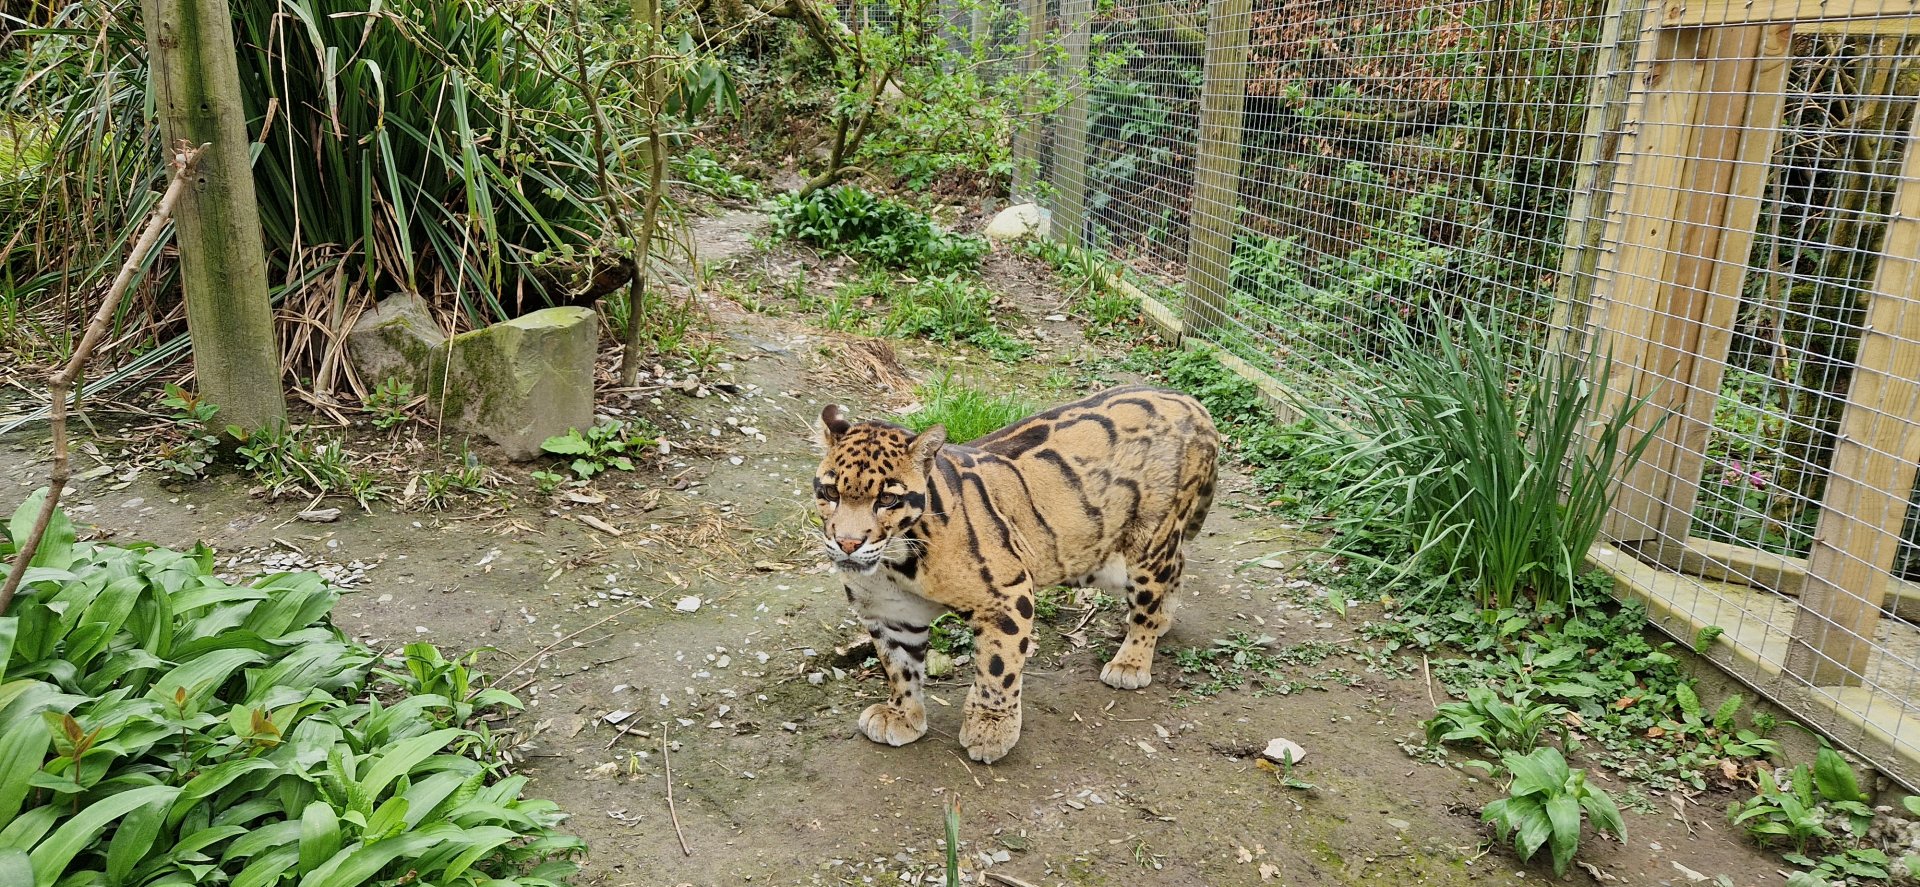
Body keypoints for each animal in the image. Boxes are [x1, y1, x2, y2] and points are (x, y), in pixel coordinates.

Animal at [811, 385, 1219, 763]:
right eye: (830, 492)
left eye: (887, 499)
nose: (847, 543)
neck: (896, 563)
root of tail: (1189, 400)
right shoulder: (889, 612)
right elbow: (899, 666)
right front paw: (903, 714)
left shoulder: (1006, 595)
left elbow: (998, 667)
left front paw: (991, 728)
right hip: (1096, 551)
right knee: (1177, 565)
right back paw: (1161, 621)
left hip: (1147, 540)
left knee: (1151, 593)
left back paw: (1132, 660)